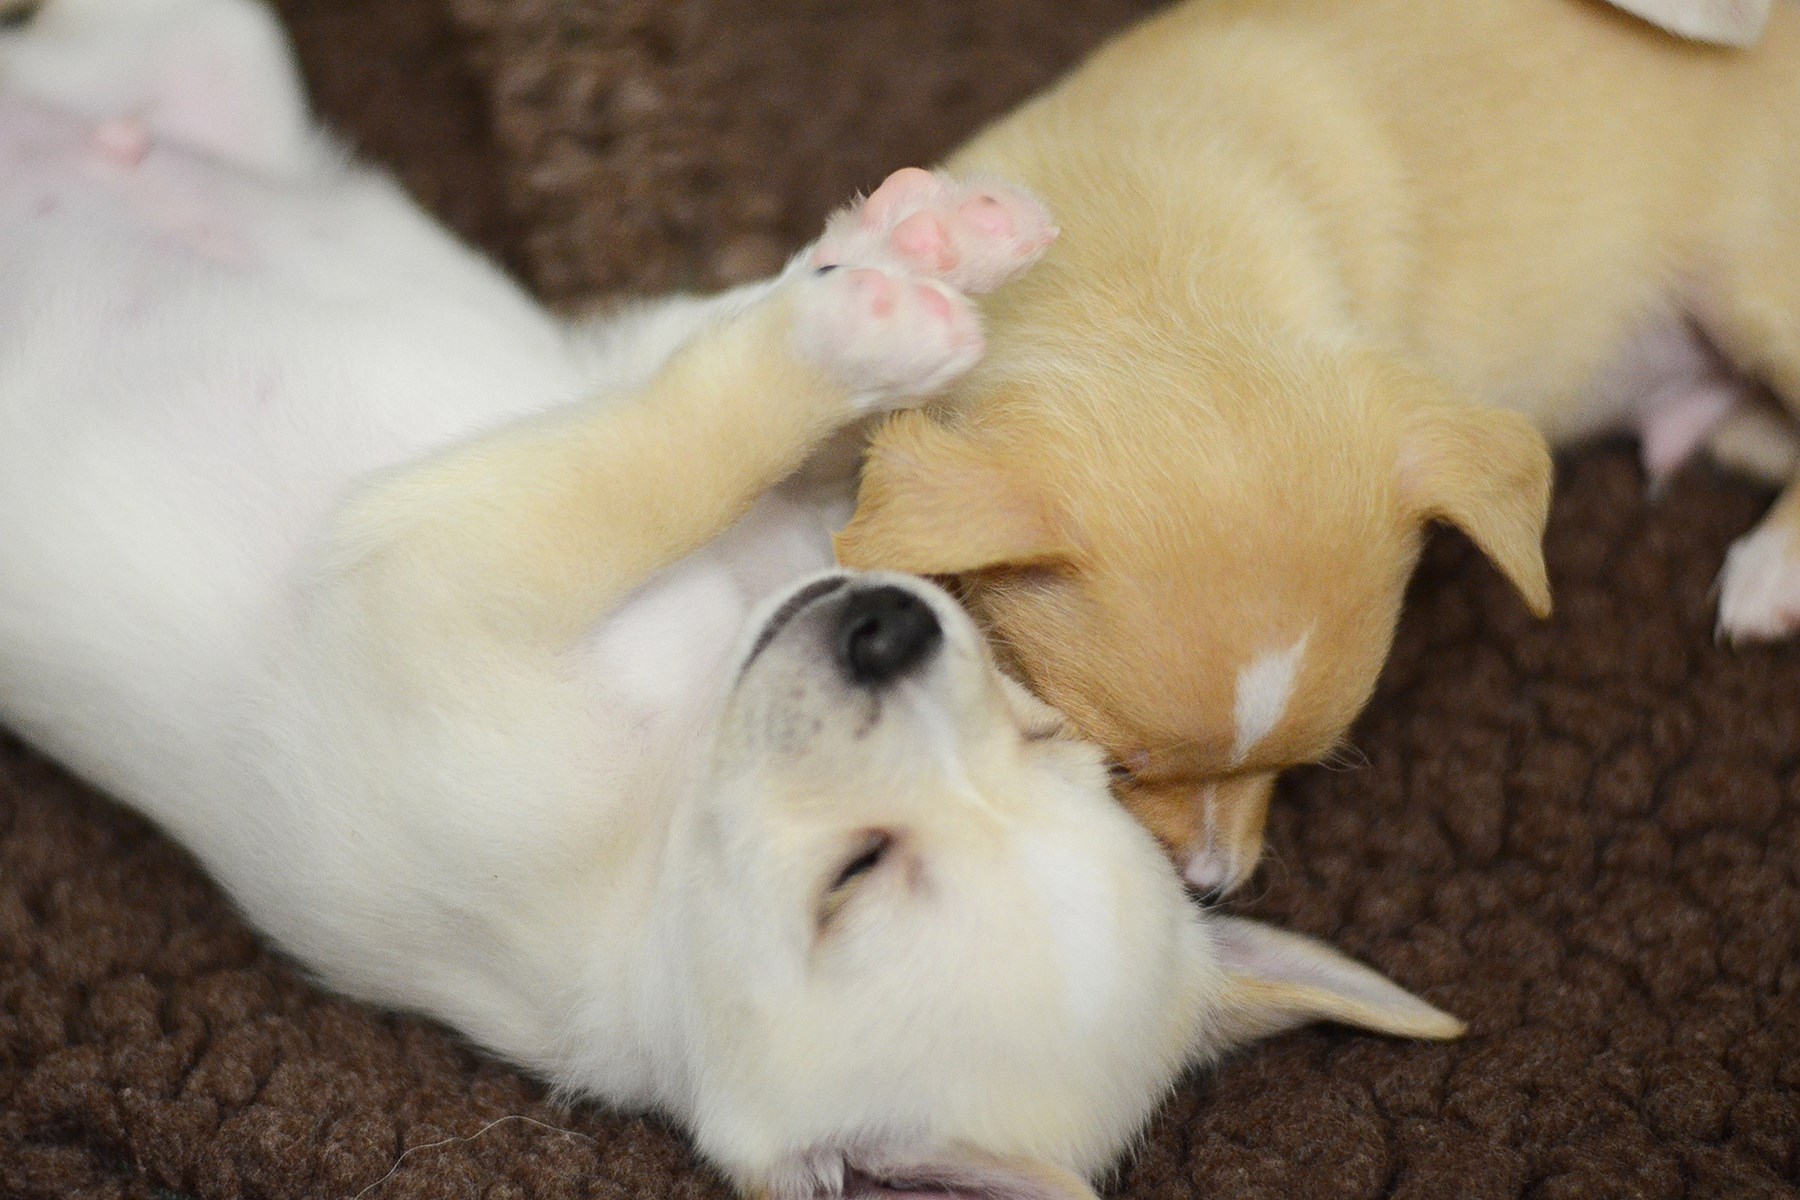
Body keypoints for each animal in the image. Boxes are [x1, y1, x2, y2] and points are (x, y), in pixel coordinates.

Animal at [0, 2, 1461, 1200]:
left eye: (848, 882)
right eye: (1050, 734)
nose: (889, 626)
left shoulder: (428, 571)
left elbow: (662, 445)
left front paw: (856, 327)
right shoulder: (628, 413)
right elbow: (749, 412)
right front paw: (910, 251)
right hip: (200, 43)